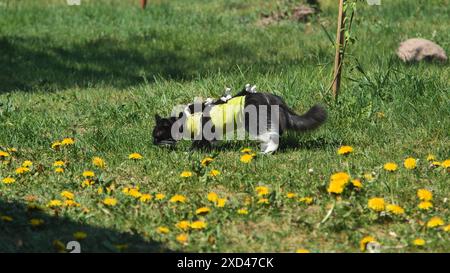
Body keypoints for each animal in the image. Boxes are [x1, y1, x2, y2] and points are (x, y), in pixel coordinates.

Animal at [152, 84, 326, 153]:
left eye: (157, 135)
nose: (152, 143)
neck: (187, 120)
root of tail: (275, 99)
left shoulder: (203, 132)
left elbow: (197, 144)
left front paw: (190, 153)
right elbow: (211, 142)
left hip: (254, 122)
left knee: (272, 136)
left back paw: (267, 151)